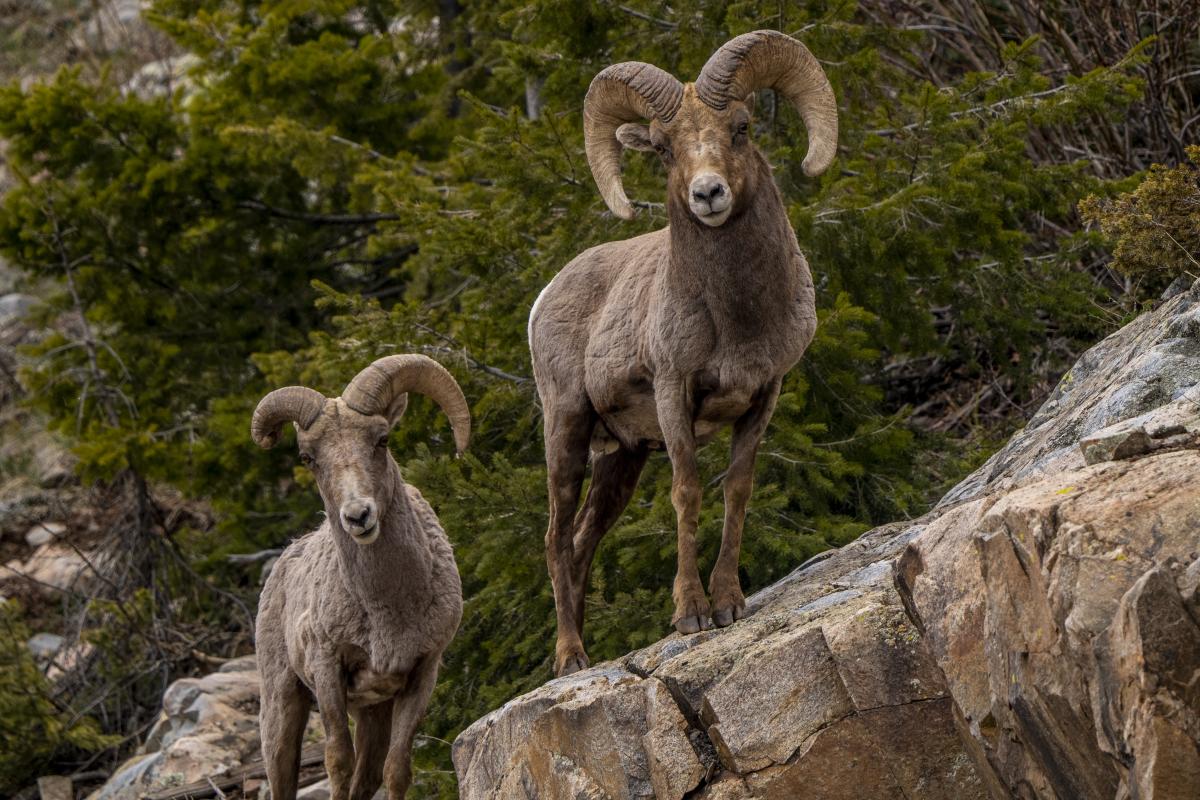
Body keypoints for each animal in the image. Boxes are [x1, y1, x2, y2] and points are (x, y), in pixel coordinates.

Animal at [250, 354, 469, 800]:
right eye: (308, 457)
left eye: (381, 439)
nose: (358, 516)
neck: (388, 609)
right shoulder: (327, 667)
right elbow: (338, 763)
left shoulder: (422, 674)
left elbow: (396, 770)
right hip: (282, 706)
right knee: (281, 775)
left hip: (372, 714)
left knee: (365, 779)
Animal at [528, 30, 838, 676]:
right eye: (665, 150)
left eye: (741, 127)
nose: (708, 194)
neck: (737, 319)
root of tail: (544, 300)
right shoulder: (675, 392)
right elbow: (688, 493)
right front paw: (690, 614)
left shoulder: (763, 394)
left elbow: (737, 489)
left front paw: (728, 603)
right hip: (567, 429)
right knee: (555, 538)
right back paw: (571, 659)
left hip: (621, 459)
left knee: (582, 542)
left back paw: (586, 653)